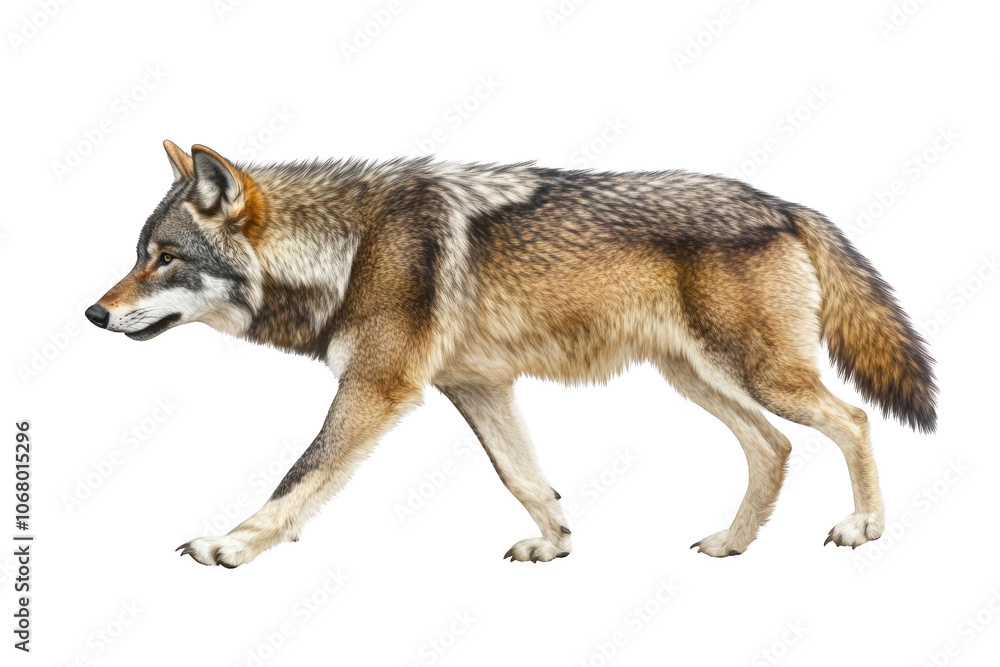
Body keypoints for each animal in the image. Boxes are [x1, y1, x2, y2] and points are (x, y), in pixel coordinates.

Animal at [85, 140, 936, 567]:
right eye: (139, 254)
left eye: (164, 258)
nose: (94, 313)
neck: (352, 246)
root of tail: (788, 204)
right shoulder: (478, 386)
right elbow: (524, 477)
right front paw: (556, 541)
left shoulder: (379, 384)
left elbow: (302, 473)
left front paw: (232, 543)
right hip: (698, 379)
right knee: (774, 445)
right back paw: (732, 542)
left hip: (758, 374)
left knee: (852, 419)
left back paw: (862, 526)